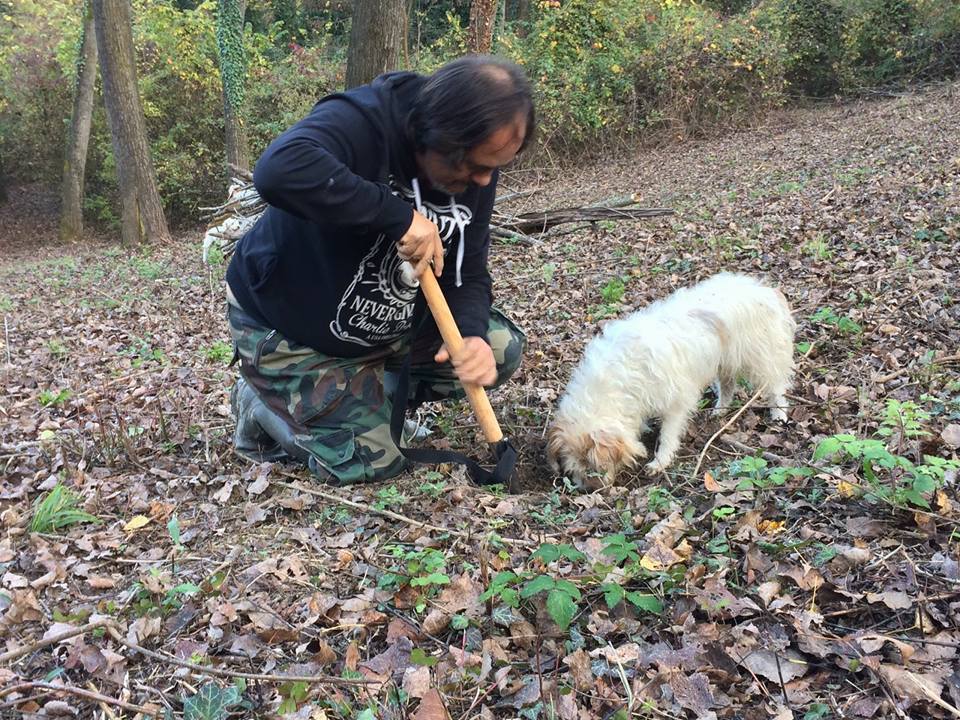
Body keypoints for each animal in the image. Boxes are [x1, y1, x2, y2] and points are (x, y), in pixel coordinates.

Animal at [548, 272, 796, 486]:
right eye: (575, 469)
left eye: (595, 467)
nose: (587, 489)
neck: (614, 380)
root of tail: (764, 289)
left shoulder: (676, 402)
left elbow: (668, 434)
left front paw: (660, 461)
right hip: (725, 360)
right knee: (728, 385)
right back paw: (720, 410)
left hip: (762, 357)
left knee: (776, 386)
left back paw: (778, 414)